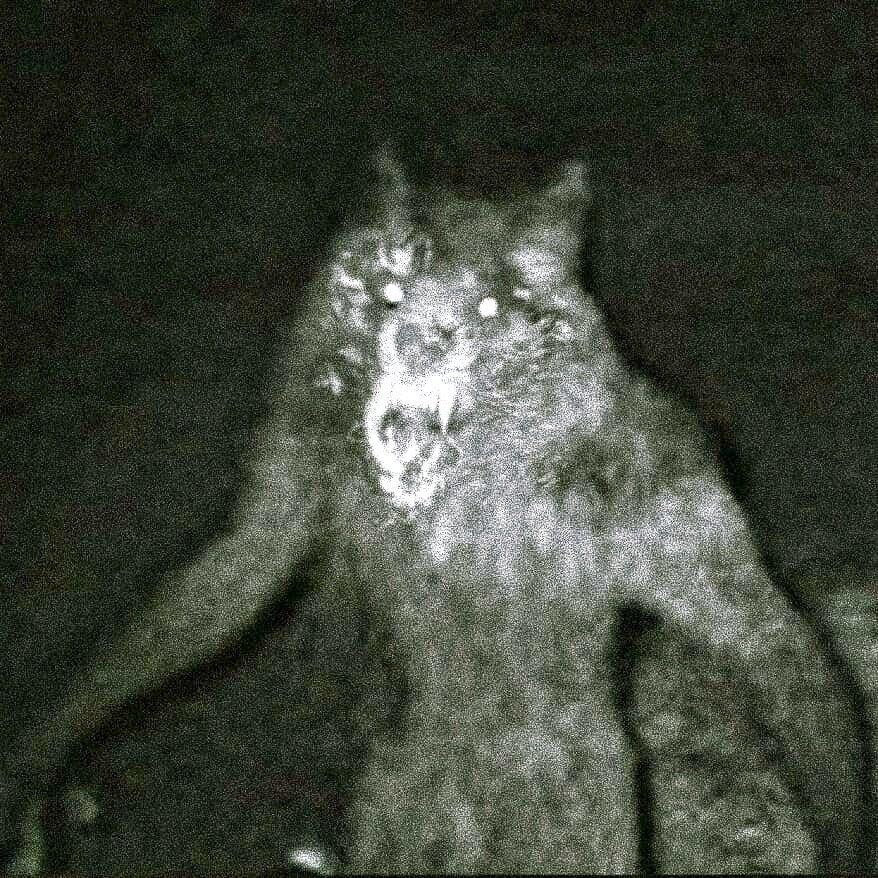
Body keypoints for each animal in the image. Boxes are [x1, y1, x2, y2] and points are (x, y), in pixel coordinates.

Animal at [1, 146, 866, 873]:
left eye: (489, 308)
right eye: (391, 290)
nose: (422, 337)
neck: (453, 498)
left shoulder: (674, 503)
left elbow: (771, 639)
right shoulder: (278, 506)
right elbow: (219, 586)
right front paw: (33, 764)